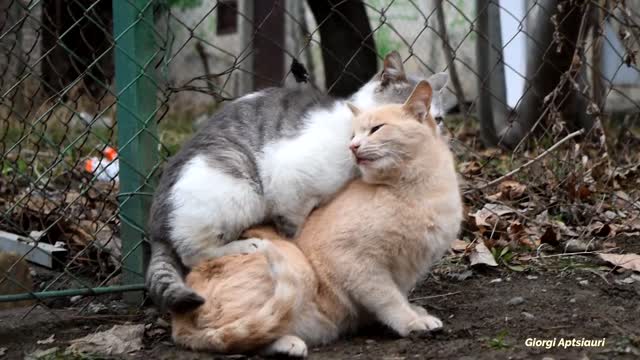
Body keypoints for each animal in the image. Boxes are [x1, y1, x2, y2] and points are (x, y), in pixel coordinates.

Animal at [149, 51, 450, 312]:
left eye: (437, 118)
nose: (432, 128)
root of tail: (156, 227)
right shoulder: (290, 183)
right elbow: (293, 232)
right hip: (238, 188)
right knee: (192, 252)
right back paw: (246, 245)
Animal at [170, 79, 462, 358]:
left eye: (376, 129)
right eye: (354, 134)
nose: (353, 146)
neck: (416, 188)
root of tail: (177, 322)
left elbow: (398, 293)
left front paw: (414, 311)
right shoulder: (353, 261)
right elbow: (388, 298)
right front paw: (411, 322)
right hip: (291, 263)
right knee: (245, 333)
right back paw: (287, 342)